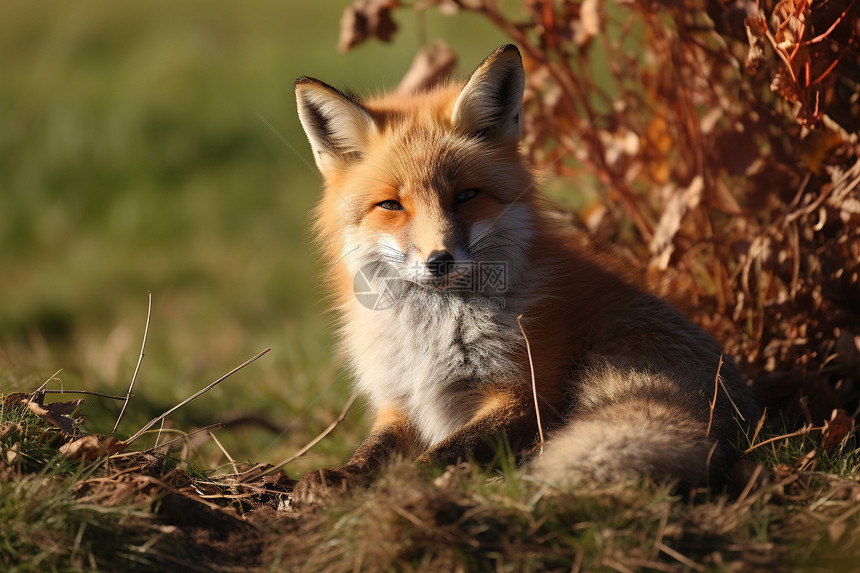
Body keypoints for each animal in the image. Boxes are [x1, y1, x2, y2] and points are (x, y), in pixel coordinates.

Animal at [292, 43, 756, 500]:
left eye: (466, 196)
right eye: (391, 205)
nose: (439, 260)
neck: (430, 333)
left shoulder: (525, 392)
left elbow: (445, 450)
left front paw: (406, 482)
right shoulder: (401, 403)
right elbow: (373, 449)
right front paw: (341, 475)